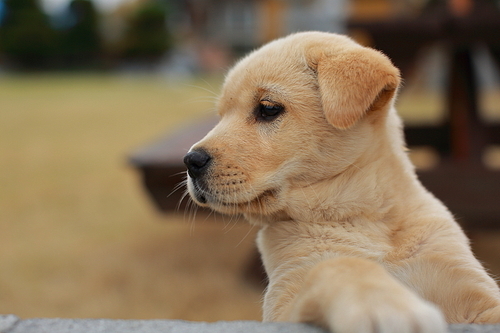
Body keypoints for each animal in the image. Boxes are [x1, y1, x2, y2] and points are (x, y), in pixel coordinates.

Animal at [183, 30, 500, 330]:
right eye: (221, 116)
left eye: (268, 108)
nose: (191, 161)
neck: (362, 216)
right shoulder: (285, 302)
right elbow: (337, 265)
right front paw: (381, 304)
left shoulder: (477, 296)